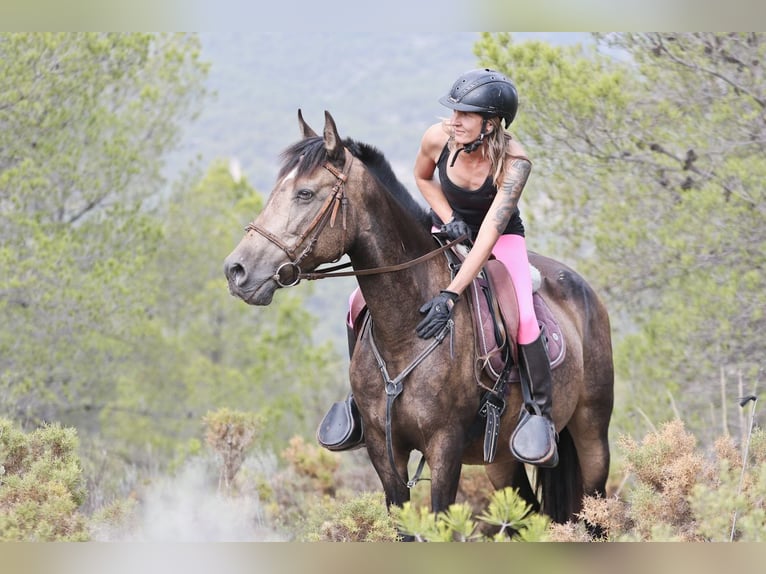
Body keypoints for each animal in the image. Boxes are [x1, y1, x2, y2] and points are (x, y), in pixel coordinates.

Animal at [224, 110, 616, 528]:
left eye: (305, 194)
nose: (237, 270)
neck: (403, 332)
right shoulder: (385, 449)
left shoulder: (445, 446)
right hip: (502, 461)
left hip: (592, 437)